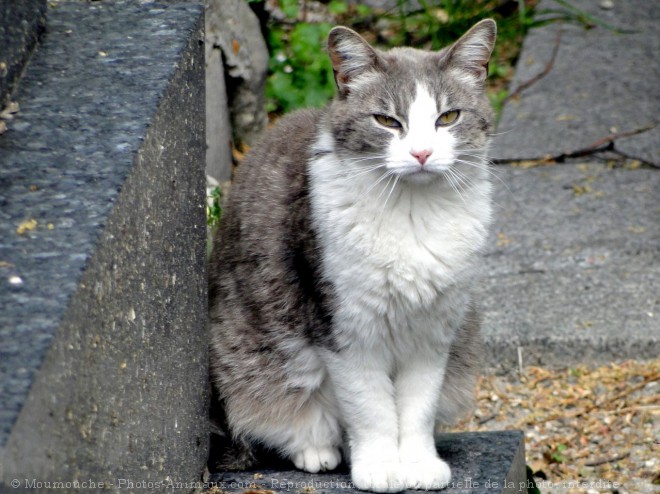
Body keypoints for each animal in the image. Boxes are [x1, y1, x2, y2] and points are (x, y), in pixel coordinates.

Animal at [209, 17, 498, 492]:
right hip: (255, 359)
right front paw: (380, 466)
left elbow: (418, 406)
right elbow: (371, 407)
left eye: (448, 117)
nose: (422, 153)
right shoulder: (344, 327)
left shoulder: (435, 330)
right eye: (386, 120)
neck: (412, 214)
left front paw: (417, 464)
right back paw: (318, 449)